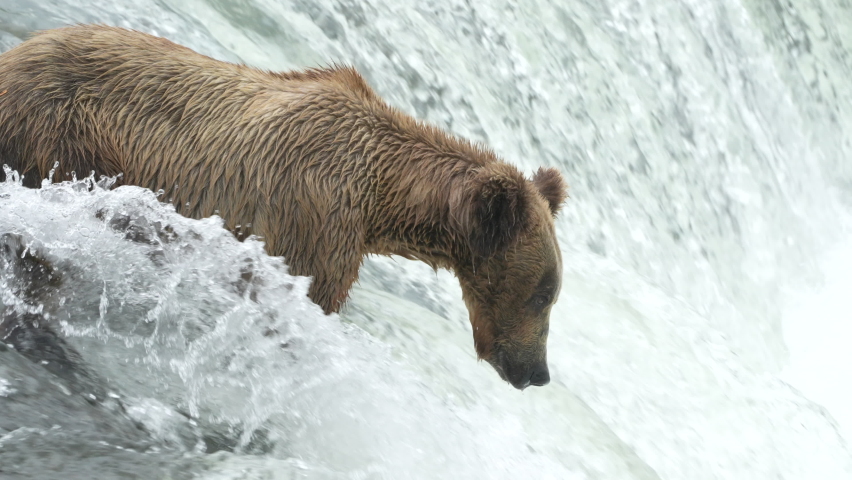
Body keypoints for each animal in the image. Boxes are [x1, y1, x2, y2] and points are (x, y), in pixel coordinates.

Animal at [0, 25, 567, 389]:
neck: (382, 199)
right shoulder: (312, 222)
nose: (537, 372)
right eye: (545, 294)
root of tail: (19, 51)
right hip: (59, 136)